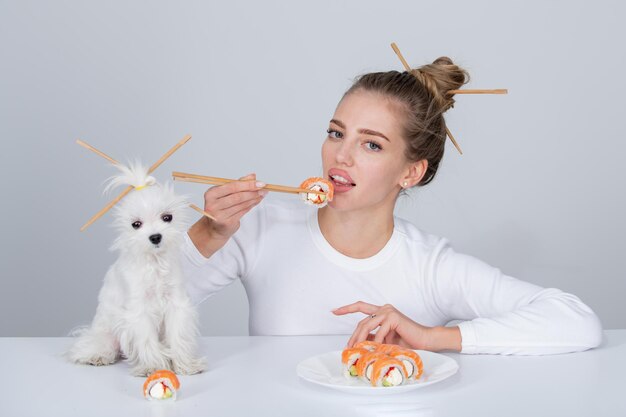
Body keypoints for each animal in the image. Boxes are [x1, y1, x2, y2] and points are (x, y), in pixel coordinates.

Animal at [68, 161, 205, 376]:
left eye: (167, 217)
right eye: (136, 224)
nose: (155, 237)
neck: (155, 265)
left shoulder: (176, 305)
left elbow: (178, 337)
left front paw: (185, 365)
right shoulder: (140, 311)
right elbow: (147, 340)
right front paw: (153, 366)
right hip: (107, 334)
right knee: (95, 346)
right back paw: (97, 356)